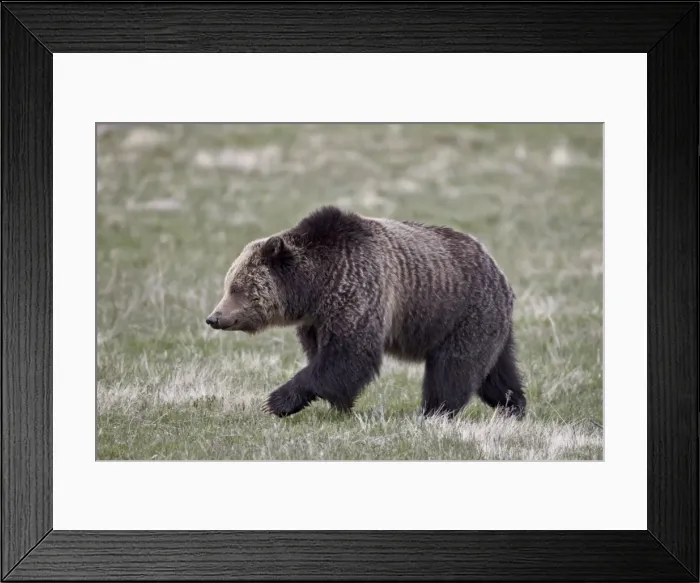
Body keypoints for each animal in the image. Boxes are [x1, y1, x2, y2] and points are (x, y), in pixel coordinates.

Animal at [206, 205, 526, 420]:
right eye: (228, 284)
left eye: (237, 287)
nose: (214, 318)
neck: (315, 288)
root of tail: (498, 271)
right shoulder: (316, 320)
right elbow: (326, 358)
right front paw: (340, 405)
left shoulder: (358, 290)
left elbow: (349, 354)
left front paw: (278, 400)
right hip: (489, 325)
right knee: (498, 373)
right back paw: (514, 406)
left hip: (463, 313)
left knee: (454, 369)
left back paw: (433, 412)